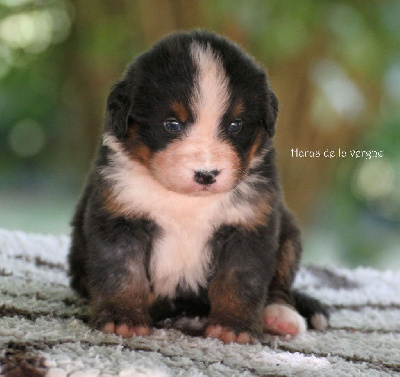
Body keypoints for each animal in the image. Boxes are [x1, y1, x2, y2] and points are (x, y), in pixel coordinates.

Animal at [69, 30, 330, 344]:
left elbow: (241, 278)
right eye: (171, 124)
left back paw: (279, 317)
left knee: (280, 284)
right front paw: (123, 317)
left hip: (288, 232)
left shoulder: (249, 224)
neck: (187, 203)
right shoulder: (120, 215)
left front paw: (233, 326)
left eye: (235, 125)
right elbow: (122, 271)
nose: (206, 174)